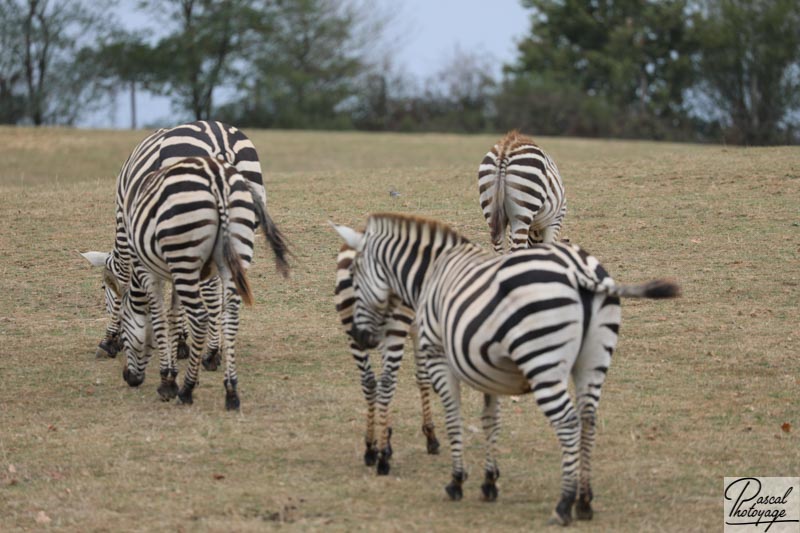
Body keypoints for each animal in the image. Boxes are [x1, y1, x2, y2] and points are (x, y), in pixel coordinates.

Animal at [80, 120, 288, 372]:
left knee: (211, 289)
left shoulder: (130, 227)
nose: (116, 343)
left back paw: (211, 354)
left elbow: (125, 280)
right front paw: (181, 343)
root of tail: (219, 140)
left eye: (104, 288)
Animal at [114, 156, 278, 410]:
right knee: (230, 316)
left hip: (184, 254)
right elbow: (174, 316)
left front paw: (167, 381)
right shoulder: (173, 275)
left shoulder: (148, 272)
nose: (128, 378)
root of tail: (216, 178)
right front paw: (173, 372)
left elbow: (159, 319)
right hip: (234, 252)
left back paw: (187, 390)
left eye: (123, 332)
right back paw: (231, 392)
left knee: (200, 317)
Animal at [334, 245, 440, 474]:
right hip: (397, 323)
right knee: (386, 382)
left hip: (352, 328)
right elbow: (422, 378)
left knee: (370, 381)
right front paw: (430, 436)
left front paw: (387, 437)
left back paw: (370, 448)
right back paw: (382, 460)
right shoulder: (419, 326)